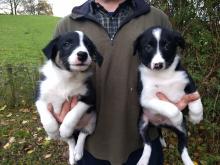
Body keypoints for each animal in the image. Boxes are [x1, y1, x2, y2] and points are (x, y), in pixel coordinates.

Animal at [35, 31, 103, 165]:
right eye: (67, 44)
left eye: (88, 46)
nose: (82, 54)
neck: (67, 78)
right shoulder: (39, 98)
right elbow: (47, 117)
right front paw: (52, 131)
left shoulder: (89, 98)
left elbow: (73, 114)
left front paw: (65, 128)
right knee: (71, 141)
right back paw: (72, 157)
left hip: (92, 121)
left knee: (82, 135)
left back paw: (78, 152)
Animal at [133, 26, 204, 164]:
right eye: (148, 47)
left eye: (166, 45)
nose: (158, 65)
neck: (163, 75)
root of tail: (159, 124)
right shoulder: (146, 98)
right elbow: (170, 108)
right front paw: (178, 117)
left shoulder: (187, 81)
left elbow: (196, 99)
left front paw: (196, 117)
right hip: (142, 124)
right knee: (148, 145)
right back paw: (143, 160)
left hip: (183, 131)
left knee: (182, 149)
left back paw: (189, 162)